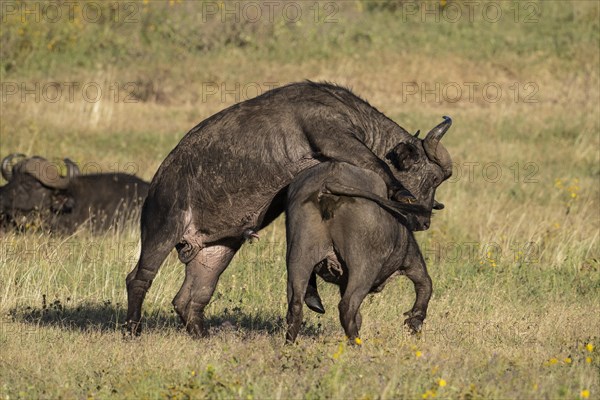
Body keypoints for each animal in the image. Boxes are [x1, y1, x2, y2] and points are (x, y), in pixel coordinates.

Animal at [284, 159, 450, 344]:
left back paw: (290, 344)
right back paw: (356, 343)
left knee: (295, 305)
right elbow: (426, 285)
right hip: (365, 266)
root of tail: (328, 186)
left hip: (298, 256)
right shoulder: (410, 258)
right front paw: (414, 323)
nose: (424, 223)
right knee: (347, 306)